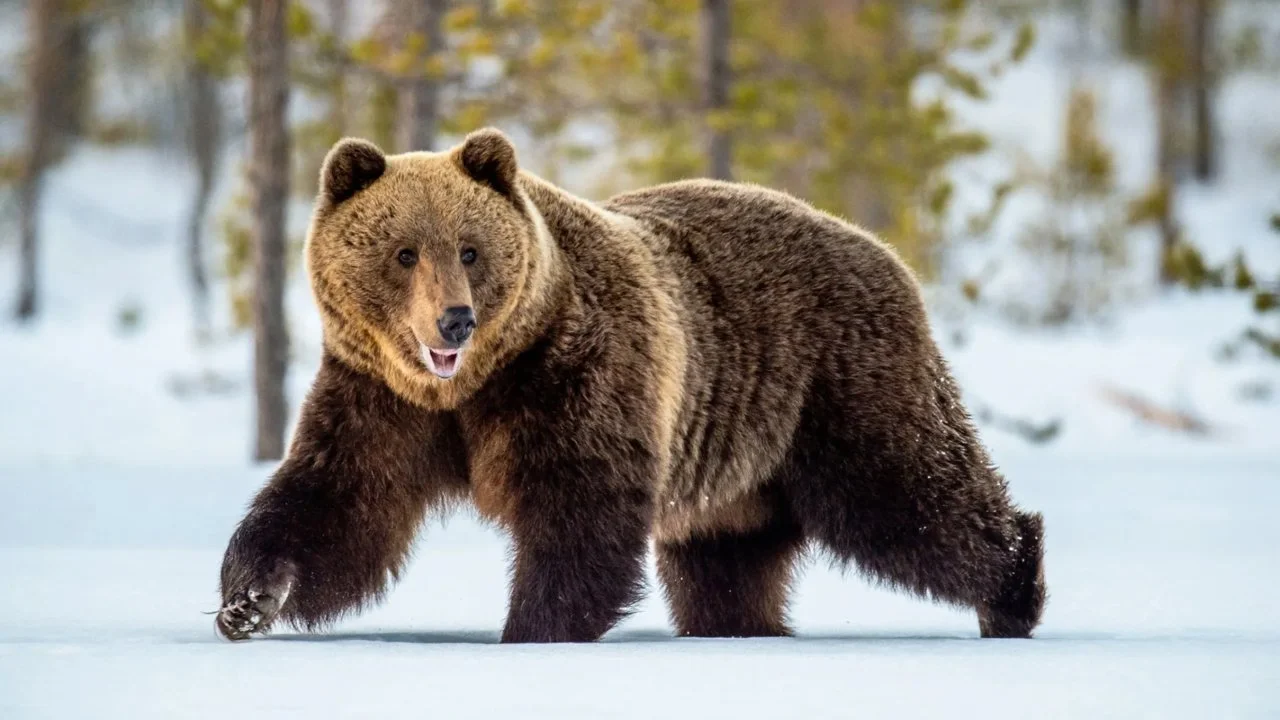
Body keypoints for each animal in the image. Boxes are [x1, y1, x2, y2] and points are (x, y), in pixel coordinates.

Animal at [216, 128, 1046, 643]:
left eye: (471, 249)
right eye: (403, 252)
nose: (454, 320)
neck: (472, 386)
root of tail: (883, 250)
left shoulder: (575, 371)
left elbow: (579, 508)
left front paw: (532, 627)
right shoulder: (379, 394)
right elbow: (339, 503)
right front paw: (248, 599)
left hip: (836, 385)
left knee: (911, 495)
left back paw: (1013, 586)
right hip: (740, 465)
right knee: (728, 560)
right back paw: (744, 624)